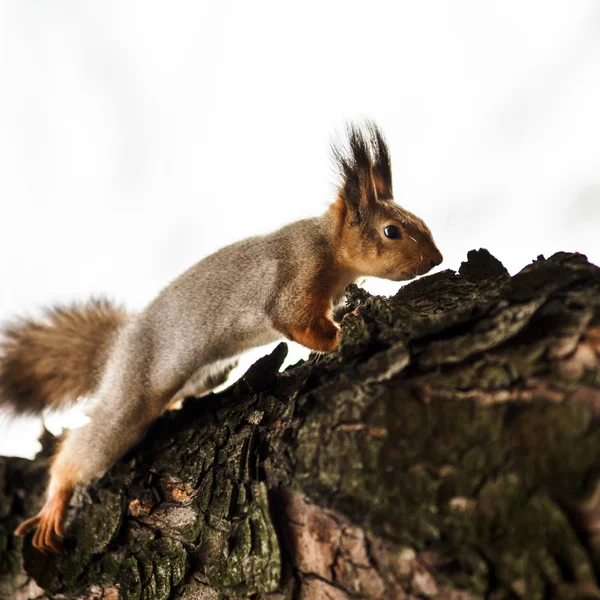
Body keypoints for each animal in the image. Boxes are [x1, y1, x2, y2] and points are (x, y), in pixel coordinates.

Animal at [2, 122, 442, 552]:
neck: (329, 246)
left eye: (421, 222)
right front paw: (340, 334)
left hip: (204, 374)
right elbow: (297, 322)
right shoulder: (298, 278)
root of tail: (119, 344)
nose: (436, 259)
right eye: (391, 231)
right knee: (92, 441)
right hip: (132, 394)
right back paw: (56, 500)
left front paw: (355, 307)